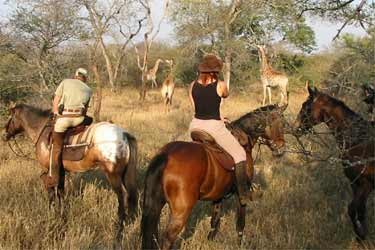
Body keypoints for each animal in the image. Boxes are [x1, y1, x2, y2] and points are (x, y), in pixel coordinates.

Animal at [0, 103, 139, 242]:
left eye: (11, 117)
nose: (4, 135)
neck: (41, 130)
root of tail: (124, 135)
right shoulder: (61, 171)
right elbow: (61, 192)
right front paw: (62, 213)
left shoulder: (48, 171)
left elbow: (51, 192)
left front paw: (51, 212)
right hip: (124, 175)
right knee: (131, 195)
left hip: (113, 175)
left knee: (123, 195)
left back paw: (119, 225)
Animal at [142, 104, 288, 249]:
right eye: (282, 123)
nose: (281, 146)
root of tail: (165, 155)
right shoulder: (240, 195)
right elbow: (240, 225)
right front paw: (239, 244)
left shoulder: (218, 195)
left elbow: (214, 222)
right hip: (181, 212)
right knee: (168, 240)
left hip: (156, 206)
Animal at [296, 86, 374, 242]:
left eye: (306, 106)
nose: (297, 128)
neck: (358, 140)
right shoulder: (355, 184)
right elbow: (357, 210)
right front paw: (361, 236)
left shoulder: (366, 183)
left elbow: (354, 209)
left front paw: (362, 235)